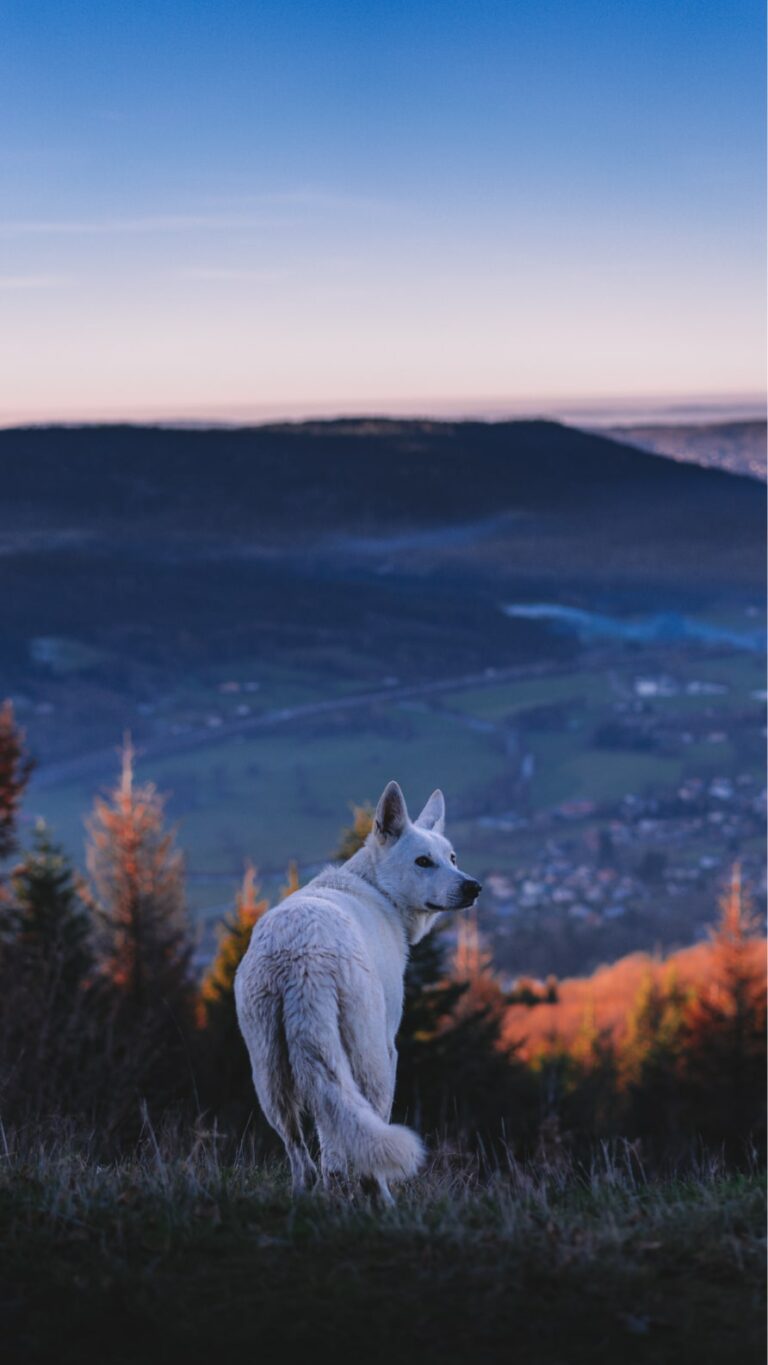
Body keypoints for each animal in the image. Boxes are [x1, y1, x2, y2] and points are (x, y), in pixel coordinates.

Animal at [234, 780, 481, 1201]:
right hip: (371, 1058)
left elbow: (328, 1140)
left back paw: (307, 1195)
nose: (473, 887)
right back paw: (381, 1197)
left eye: (451, 857)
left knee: (304, 1153)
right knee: (367, 1136)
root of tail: (299, 957)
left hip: (270, 1070)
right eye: (423, 862)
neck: (376, 888)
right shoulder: (388, 1045)